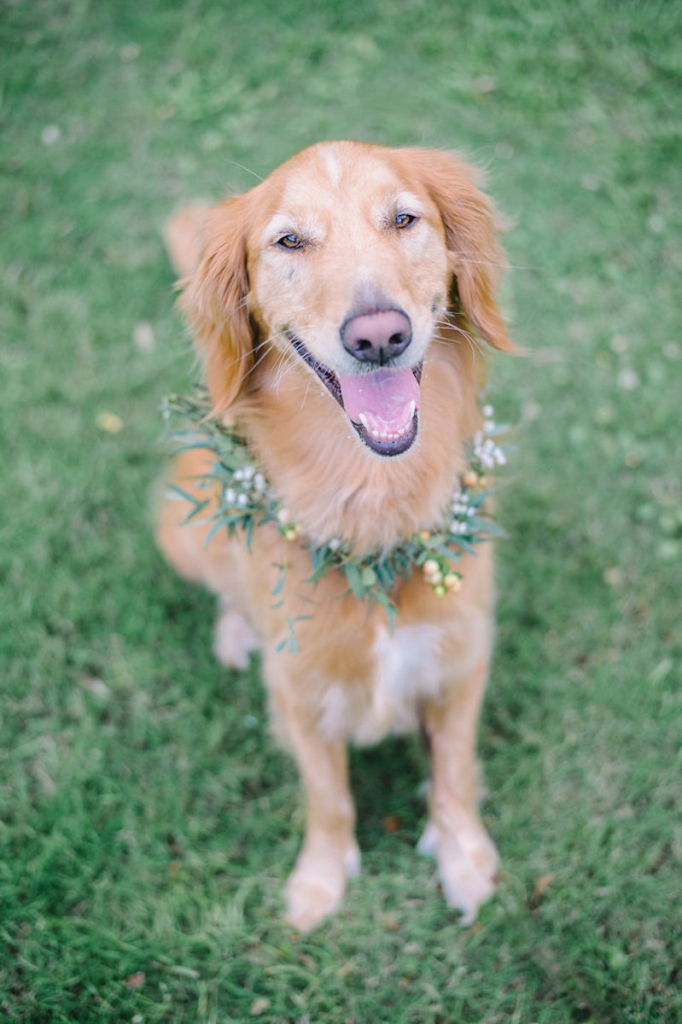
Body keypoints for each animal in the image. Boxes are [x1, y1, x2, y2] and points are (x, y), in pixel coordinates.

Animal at [156, 140, 512, 933]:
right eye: (289, 241)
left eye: (404, 219)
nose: (379, 336)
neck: (372, 512)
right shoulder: (299, 691)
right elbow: (328, 799)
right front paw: (319, 881)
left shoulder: (462, 664)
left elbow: (454, 776)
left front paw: (464, 859)